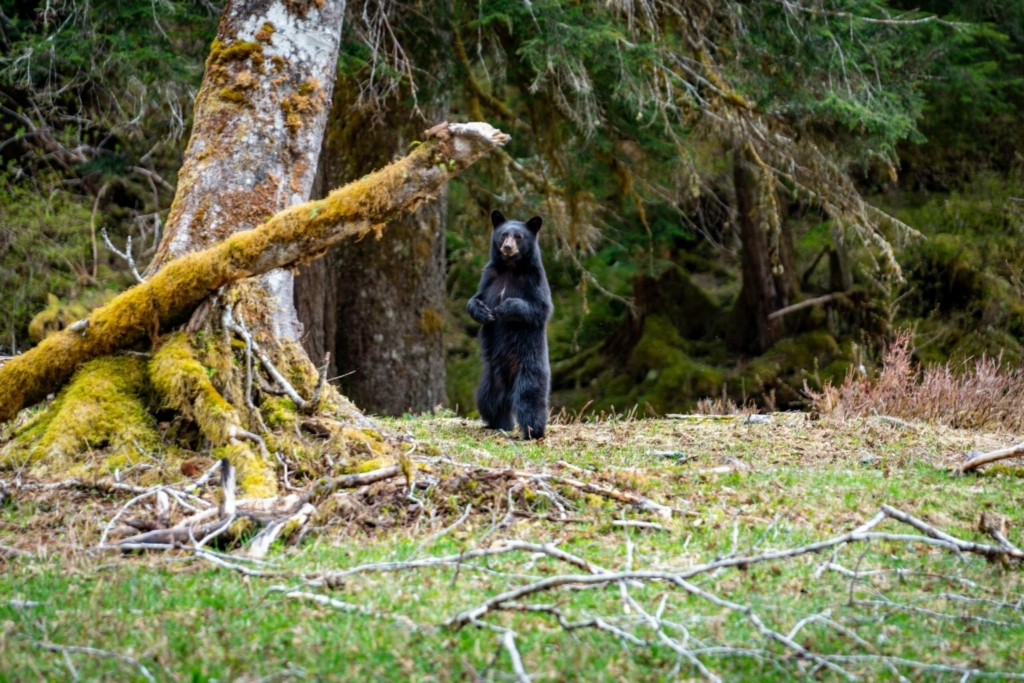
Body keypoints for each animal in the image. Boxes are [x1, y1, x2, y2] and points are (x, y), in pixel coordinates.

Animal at [468, 210, 557, 440]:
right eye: (503, 234)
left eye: (518, 236)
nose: (507, 247)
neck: (510, 268)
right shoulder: (489, 276)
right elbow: (476, 298)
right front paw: (483, 311)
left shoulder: (535, 279)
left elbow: (540, 307)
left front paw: (504, 307)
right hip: (491, 374)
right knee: (488, 398)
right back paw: (497, 423)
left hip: (530, 364)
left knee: (529, 398)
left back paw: (533, 430)